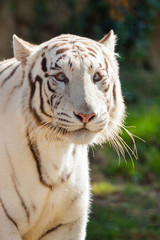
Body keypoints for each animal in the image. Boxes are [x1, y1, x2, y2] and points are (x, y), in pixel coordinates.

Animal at [0, 30, 125, 240]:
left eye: (97, 76)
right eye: (60, 76)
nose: (86, 115)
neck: (56, 151)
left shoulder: (67, 225)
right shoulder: (5, 225)